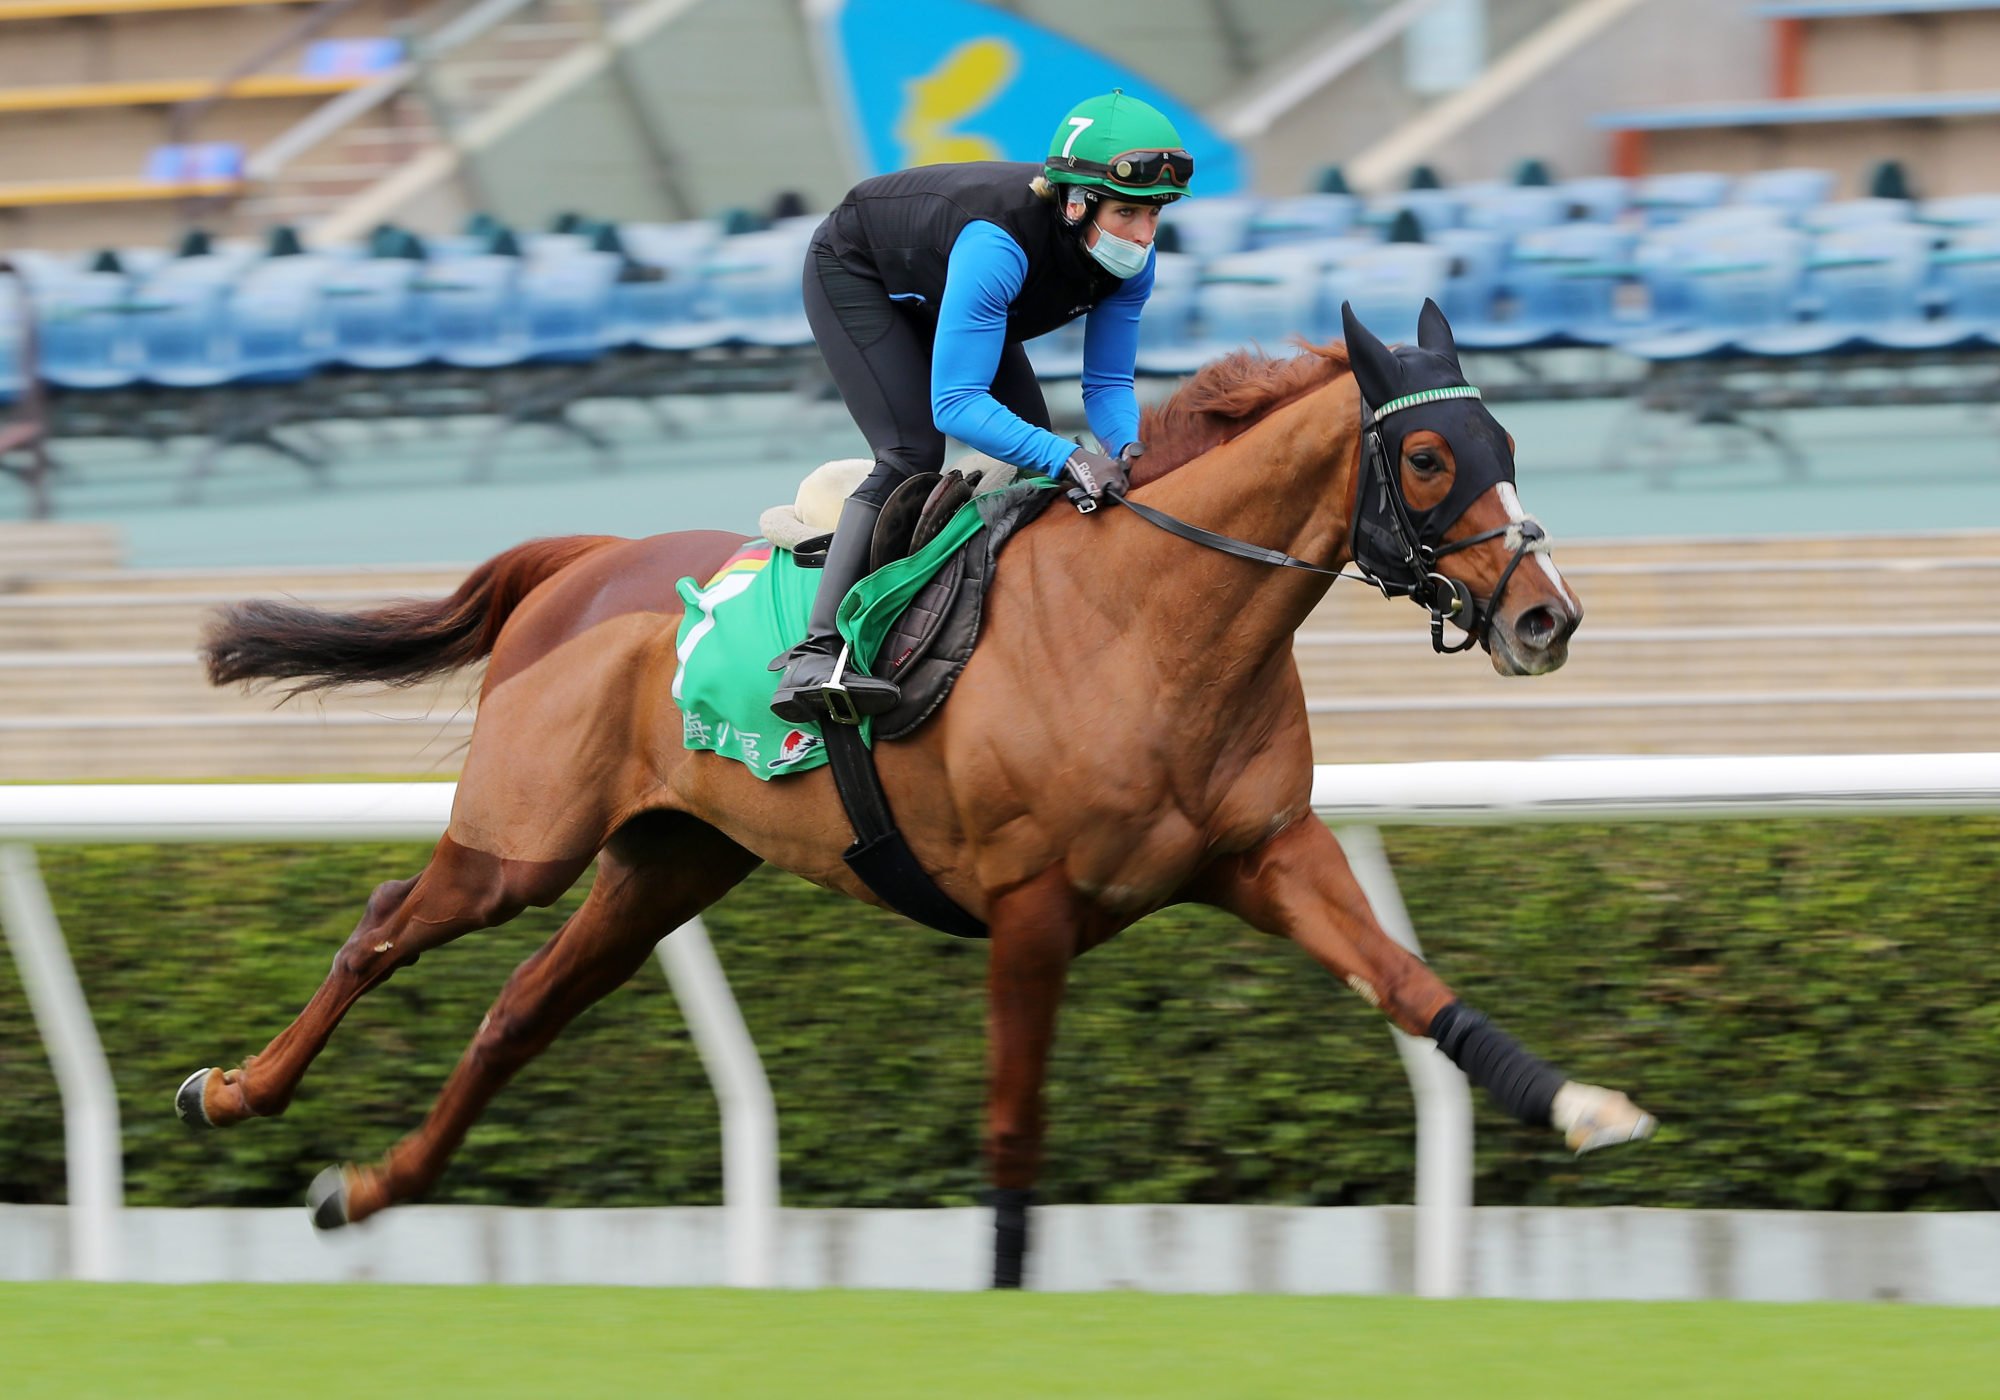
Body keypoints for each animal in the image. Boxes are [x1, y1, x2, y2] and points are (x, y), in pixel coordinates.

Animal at [188, 306, 1656, 1288]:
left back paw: (367, 1187)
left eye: (1504, 437)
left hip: (665, 862)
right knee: (383, 924)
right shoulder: (1031, 903)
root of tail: (585, 558)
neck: (1150, 622)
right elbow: (1014, 1121)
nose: (1547, 616)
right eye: (1427, 460)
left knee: (515, 1015)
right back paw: (234, 1093)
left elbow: (1414, 987)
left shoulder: (1264, 852)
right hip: (520, 842)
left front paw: (1579, 1104)